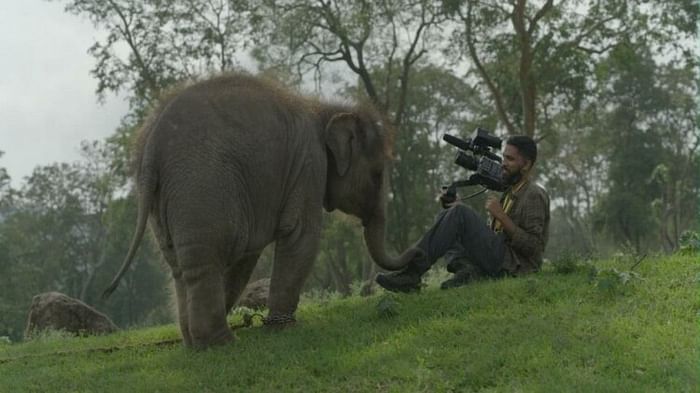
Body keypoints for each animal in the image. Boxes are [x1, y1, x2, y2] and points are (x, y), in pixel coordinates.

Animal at [102, 72, 422, 348]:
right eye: (377, 175)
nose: (416, 251)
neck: (323, 108)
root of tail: (151, 148)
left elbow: (248, 257)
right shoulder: (309, 165)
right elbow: (301, 236)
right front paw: (285, 329)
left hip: (164, 203)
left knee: (181, 266)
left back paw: (194, 343)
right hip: (201, 187)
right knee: (206, 259)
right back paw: (222, 343)